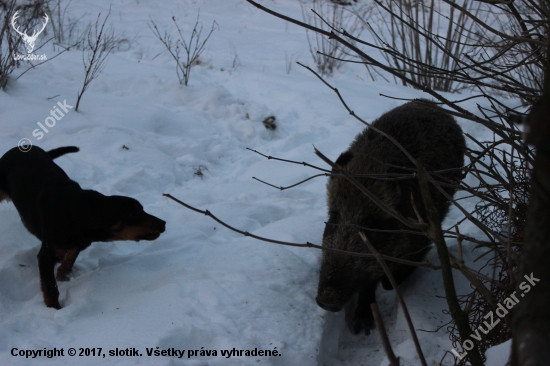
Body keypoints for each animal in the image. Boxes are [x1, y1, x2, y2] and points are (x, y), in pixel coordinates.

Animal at [0, 146, 166, 308]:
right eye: (133, 214)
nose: (163, 223)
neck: (79, 212)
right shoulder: (46, 256)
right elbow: (50, 286)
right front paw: (54, 308)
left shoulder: (81, 242)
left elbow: (69, 259)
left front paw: (63, 275)